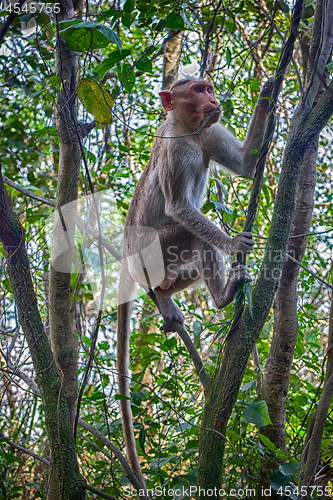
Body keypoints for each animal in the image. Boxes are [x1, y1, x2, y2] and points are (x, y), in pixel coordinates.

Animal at [115, 76, 272, 490]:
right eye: (198, 89)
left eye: (209, 88)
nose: (213, 99)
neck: (190, 131)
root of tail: (125, 254)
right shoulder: (176, 149)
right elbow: (180, 209)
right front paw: (232, 243)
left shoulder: (209, 132)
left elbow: (246, 164)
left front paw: (270, 91)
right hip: (151, 253)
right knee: (193, 235)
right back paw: (223, 297)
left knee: (183, 270)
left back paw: (165, 296)